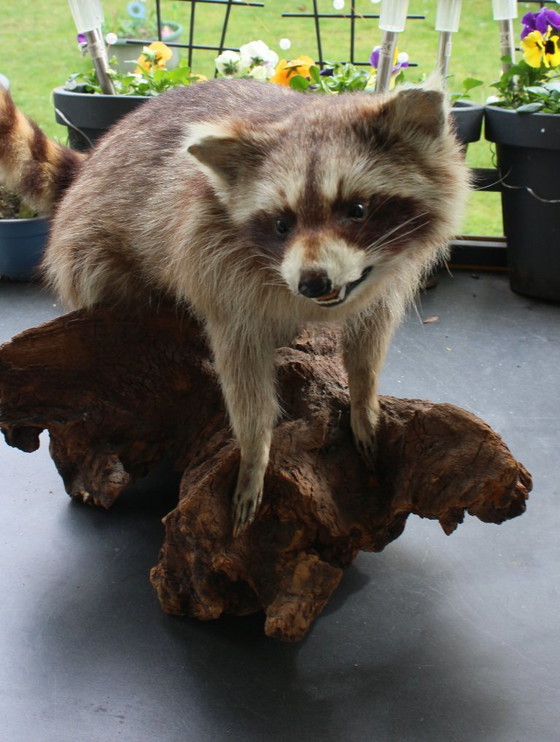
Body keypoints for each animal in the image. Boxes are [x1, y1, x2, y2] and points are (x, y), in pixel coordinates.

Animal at [0, 78, 470, 534]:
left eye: (356, 209)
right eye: (281, 224)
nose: (312, 282)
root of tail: (94, 159)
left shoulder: (384, 282)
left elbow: (369, 340)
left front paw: (363, 397)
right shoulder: (214, 262)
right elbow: (241, 370)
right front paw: (254, 451)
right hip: (85, 241)